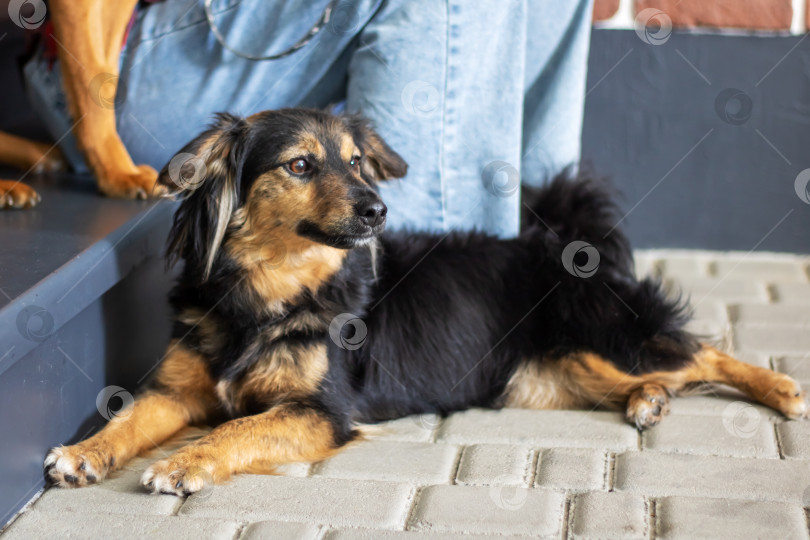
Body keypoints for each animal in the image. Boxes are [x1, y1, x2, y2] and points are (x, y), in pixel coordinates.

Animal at [45, 107, 808, 496]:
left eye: (357, 162)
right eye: (301, 165)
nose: (377, 209)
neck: (266, 294)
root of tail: (565, 247)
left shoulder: (322, 412)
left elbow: (237, 429)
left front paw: (185, 463)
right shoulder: (178, 390)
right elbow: (132, 417)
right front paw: (86, 451)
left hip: (605, 332)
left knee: (701, 353)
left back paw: (782, 389)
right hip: (551, 373)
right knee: (660, 374)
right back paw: (648, 401)